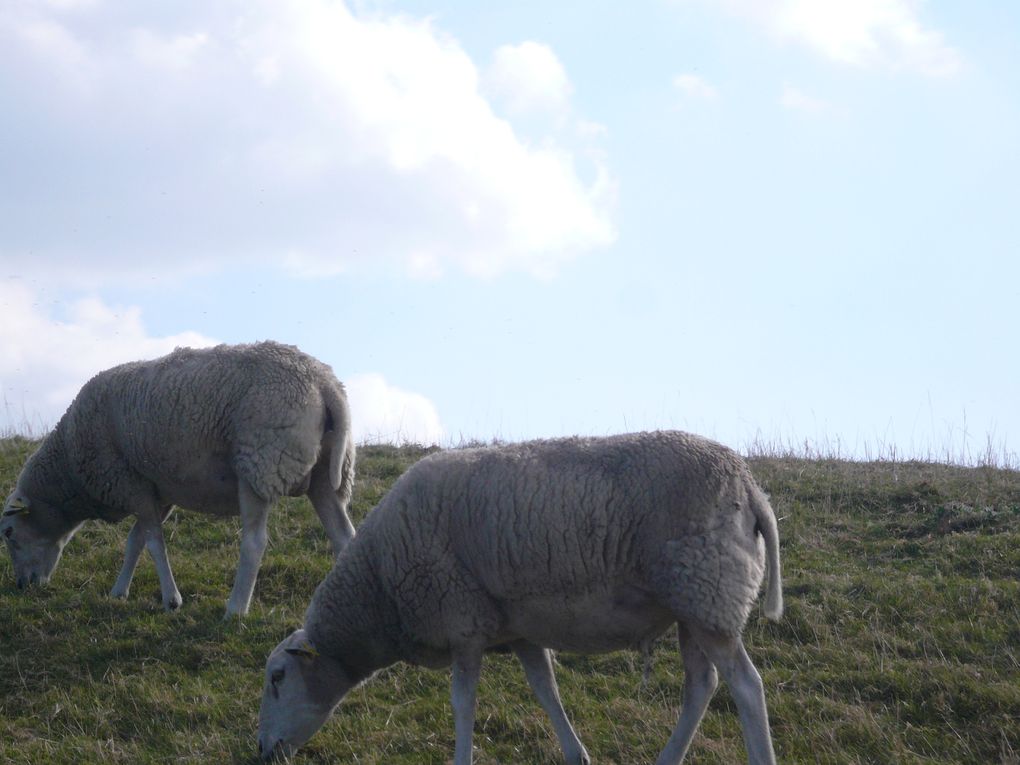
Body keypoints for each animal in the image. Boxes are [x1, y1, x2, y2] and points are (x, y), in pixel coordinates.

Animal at [0, 340, 357, 616]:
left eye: (9, 533)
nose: (22, 586)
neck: (70, 470)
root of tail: (323, 383)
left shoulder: (130, 484)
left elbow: (154, 545)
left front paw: (171, 600)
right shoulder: (156, 491)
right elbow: (135, 541)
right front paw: (119, 592)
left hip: (260, 462)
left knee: (255, 542)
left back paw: (235, 609)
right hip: (327, 472)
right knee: (344, 536)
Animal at [255, 432, 779, 765]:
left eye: (278, 677)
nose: (263, 753)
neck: (378, 587)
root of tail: (752, 490)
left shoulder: (461, 620)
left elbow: (462, 702)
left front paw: (461, 759)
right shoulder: (516, 628)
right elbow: (545, 688)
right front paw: (576, 753)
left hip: (709, 593)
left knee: (747, 687)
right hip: (695, 603)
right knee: (702, 686)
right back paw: (667, 759)